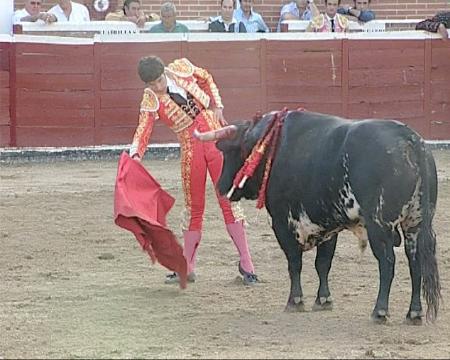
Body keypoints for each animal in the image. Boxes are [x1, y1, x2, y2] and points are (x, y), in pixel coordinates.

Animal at [208, 109, 442, 324]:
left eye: (229, 152)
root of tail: (411, 139)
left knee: (387, 263)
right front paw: (323, 300)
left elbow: (294, 262)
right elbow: (323, 262)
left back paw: (380, 311)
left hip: (380, 225)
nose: (220, 187)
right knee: (416, 263)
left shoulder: (282, 222)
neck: (271, 147)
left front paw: (295, 301)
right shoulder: (327, 223)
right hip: (415, 224)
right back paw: (414, 314)